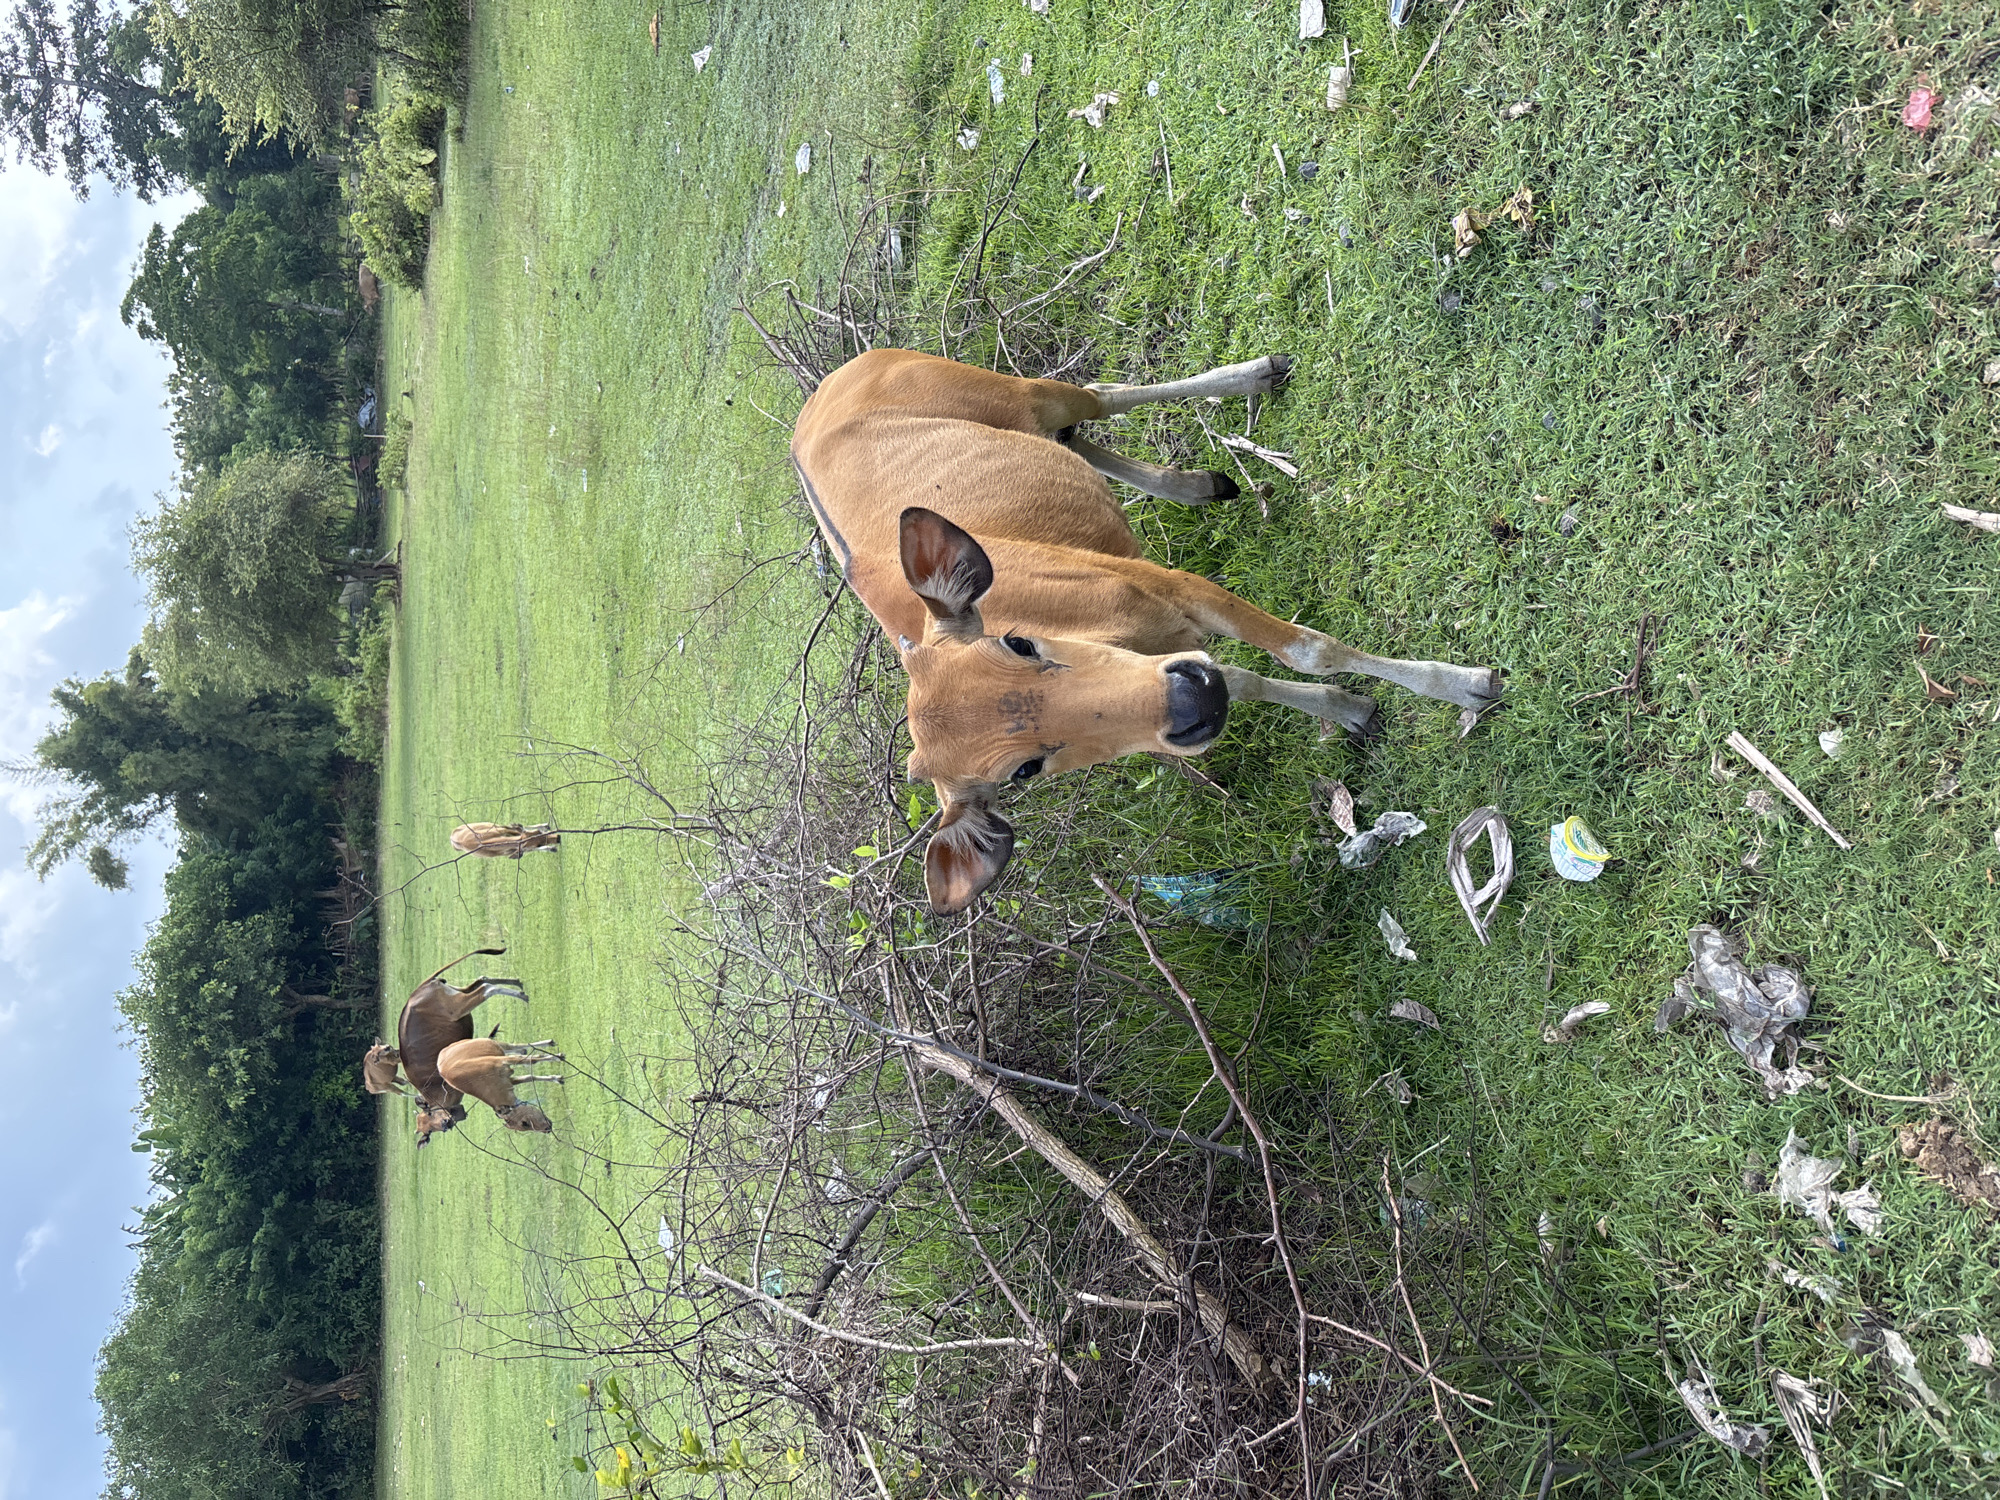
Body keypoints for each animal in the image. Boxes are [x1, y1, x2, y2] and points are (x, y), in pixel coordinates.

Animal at [435, 1039, 565, 1133]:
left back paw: (548, 1044)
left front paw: (558, 1057)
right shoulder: (509, 1080)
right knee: (517, 1048)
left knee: (513, 1046)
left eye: (524, 1122)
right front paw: (557, 1078)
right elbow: (529, 1077)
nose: (547, 1129)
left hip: (497, 1044)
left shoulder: (502, 1060)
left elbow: (531, 1061)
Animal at [789, 348, 1502, 912]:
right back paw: (1200, 483)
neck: (1101, 627)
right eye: (1024, 771)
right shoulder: (1177, 650)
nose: (1191, 703)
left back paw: (1255, 377)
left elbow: (1308, 649)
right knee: (1073, 437)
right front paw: (1354, 711)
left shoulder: (1178, 589)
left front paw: (1466, 685)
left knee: (1096, 397)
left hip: (1014, 391)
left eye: (1018, 641)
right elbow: (1251, 677)